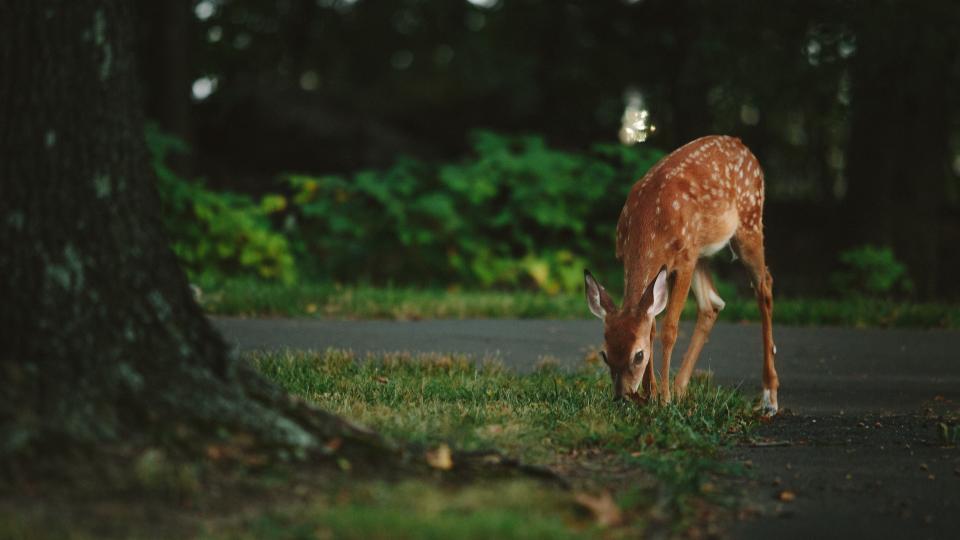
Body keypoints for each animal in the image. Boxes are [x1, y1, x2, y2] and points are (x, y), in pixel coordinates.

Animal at [583, 135, 779, 416]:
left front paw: (662, 399)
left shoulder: (684, 261)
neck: (649, 224)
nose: (622, 397)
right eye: (605, 354)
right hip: (702, 251)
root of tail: (742, 145)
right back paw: (680, 388)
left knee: (764, 286)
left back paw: (769, 397)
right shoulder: (635, 260)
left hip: (749, 221)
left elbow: (669, 329)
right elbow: (651, 325)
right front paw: (651, 394)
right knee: (712, 304)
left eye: (638, 355)